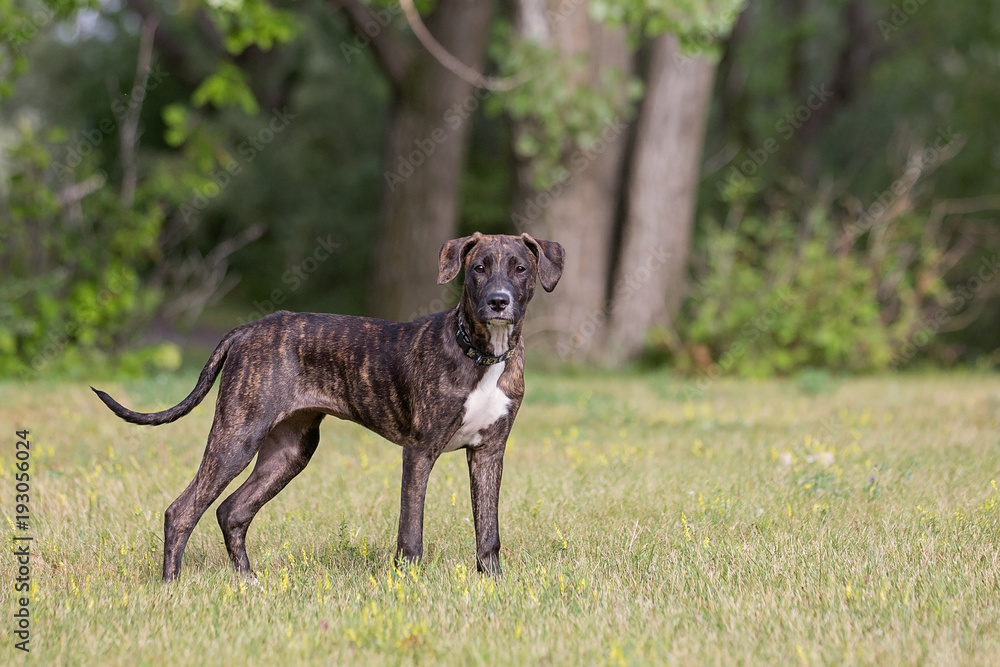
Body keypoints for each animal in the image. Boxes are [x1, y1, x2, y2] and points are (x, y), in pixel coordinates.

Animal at [92, 232, 564, 580]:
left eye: (520, 268)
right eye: (478, 268)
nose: (499, 301)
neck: (481, 354)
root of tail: (248, 329)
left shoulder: (489, 452)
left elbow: (488, 530)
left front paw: (493, 583)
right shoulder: (420, 451)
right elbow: (411, 531)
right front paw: (408, 585)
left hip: (289, 451)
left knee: (232, 510)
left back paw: (249, 582)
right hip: (237, 436)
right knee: (182, 510)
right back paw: (171, 586)